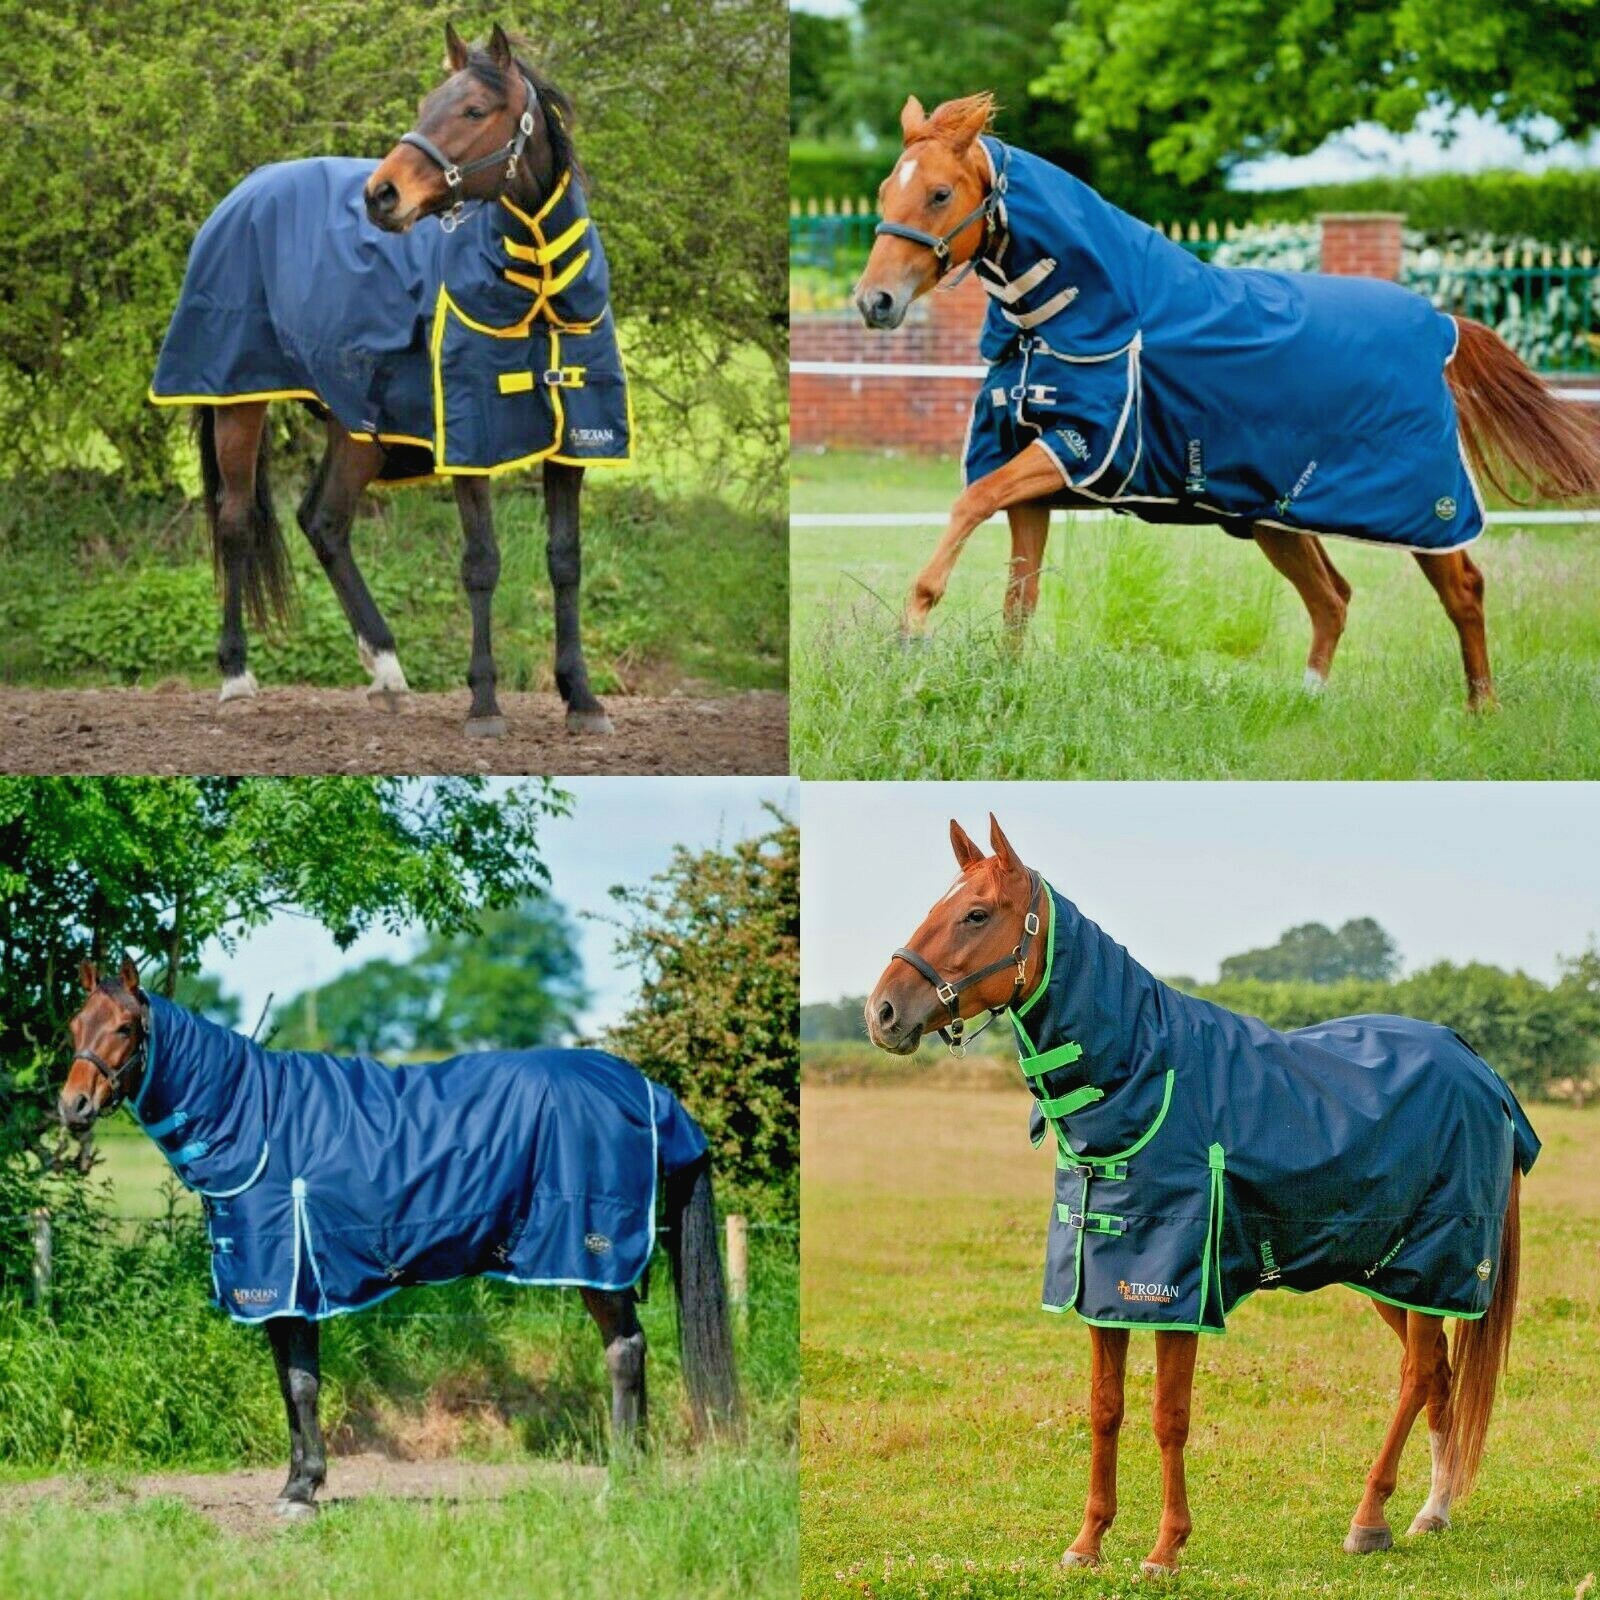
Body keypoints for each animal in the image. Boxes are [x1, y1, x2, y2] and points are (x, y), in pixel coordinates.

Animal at [59, 957, 739, 1517]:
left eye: (126, 1027)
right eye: (74, 1024)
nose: (74, 1107)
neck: (254, 1121)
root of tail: (647, 1092)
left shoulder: (290, 1280)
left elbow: (303, 1385)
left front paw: (303, 1493)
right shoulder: (276, 1290)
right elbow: (287, 1384)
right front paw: (294, 1483)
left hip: (595, 1257)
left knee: (624, 1352)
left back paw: (618, 1482)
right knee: (633, 1349)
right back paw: (638, 1475)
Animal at [149, 24, 625, 737]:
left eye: (474, 111)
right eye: (428, 102)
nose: (380, 195)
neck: (536, 282)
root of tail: (245, 192)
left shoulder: (573, 442)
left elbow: (565, 560)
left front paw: (582, 699)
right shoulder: (468, 444)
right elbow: (481, 564)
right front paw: (484, 704)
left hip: (357, 422)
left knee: (324, 522)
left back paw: (388, 670)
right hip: (239, 400)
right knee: (235, 520)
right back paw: (236, 675)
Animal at [856, 93, 1600, 710]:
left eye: (940, 192)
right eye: (886, 191)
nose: (874, 302)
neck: (1070, 316)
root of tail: (1441, 323)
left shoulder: (1075, 449)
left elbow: (970, 506)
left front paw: (909, 629)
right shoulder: (1036, 477)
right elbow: (1020, 595)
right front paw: (1002, 687)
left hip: (1423, 510)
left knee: (1462, 590)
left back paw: (1482, 711)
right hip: (1275, 517)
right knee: (1333, 599)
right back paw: (1307, 702)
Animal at [865, 815, 1538, 1573]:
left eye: (976, 914)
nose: (882, 1013)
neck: (1145, 1078)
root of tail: (1481, 1070)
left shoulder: (1176, 1295)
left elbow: (1169, 1417)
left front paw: (1165, 1548)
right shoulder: (1103, 1290)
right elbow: (1105, 1409)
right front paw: (1088, 1542)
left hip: (1433, 1263)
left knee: (1419, 1374)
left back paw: (1370, 1519)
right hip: (1391, 1274)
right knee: (1440, 1374)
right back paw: (1432, 1511)